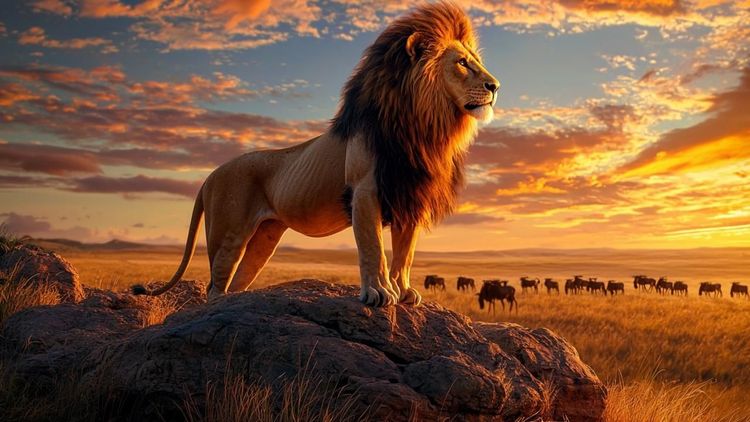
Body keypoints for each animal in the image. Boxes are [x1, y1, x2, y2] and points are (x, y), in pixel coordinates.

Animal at [132, 2, 500, 307]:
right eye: (463, 63)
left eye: (478, 62)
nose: (495, 86)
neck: (424, 126)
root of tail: (209, 175)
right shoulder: (365, 190)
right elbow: (373, 248)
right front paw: (379, 293)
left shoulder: (410, 195)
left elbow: (404, 254)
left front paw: (405, 291)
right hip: (228, 234)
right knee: (215, 286)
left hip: (265, 237)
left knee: (238, 283)